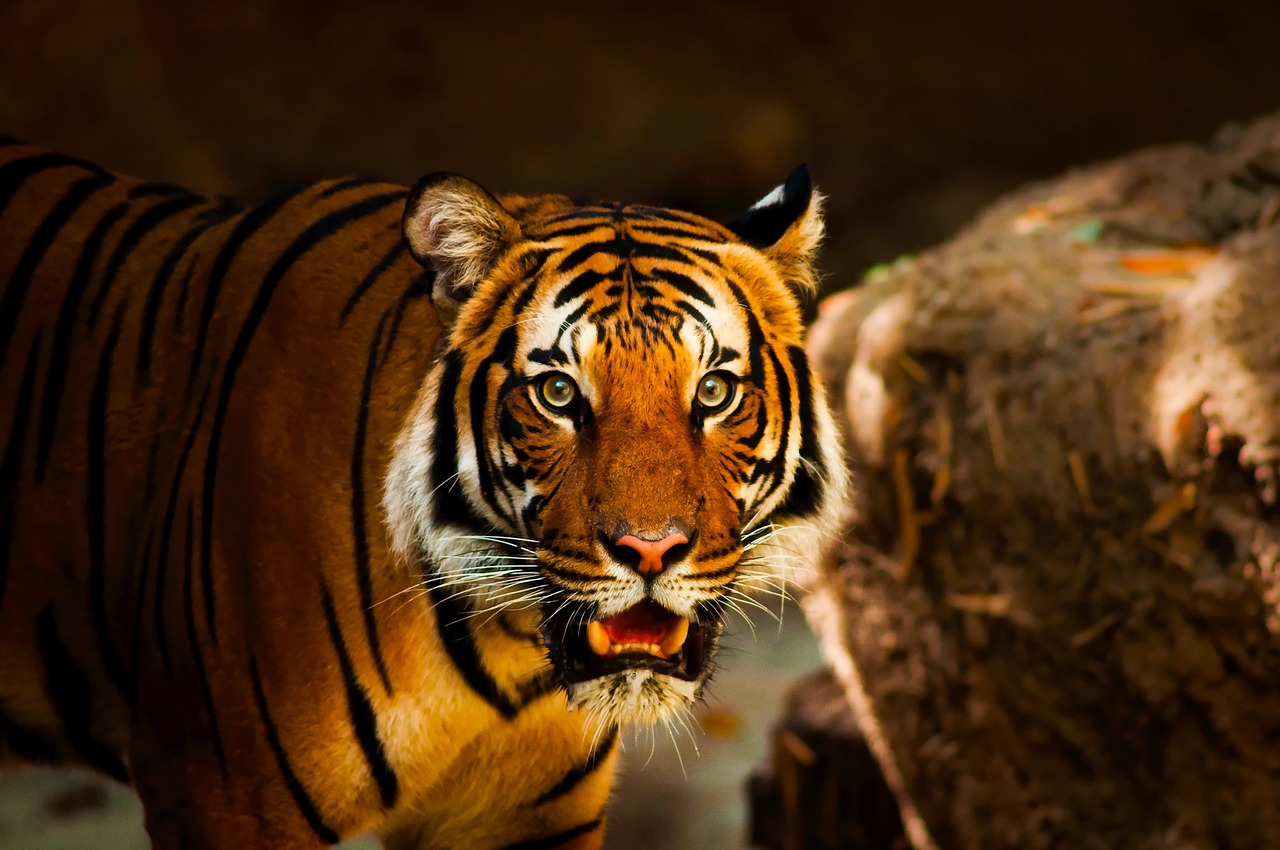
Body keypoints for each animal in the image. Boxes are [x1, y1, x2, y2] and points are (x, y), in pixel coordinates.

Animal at [0, 136, 848, 849]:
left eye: (712, 392)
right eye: (558, 394)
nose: (650, 549)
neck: (504, 650)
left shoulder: (527, 819)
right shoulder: (223, 793)